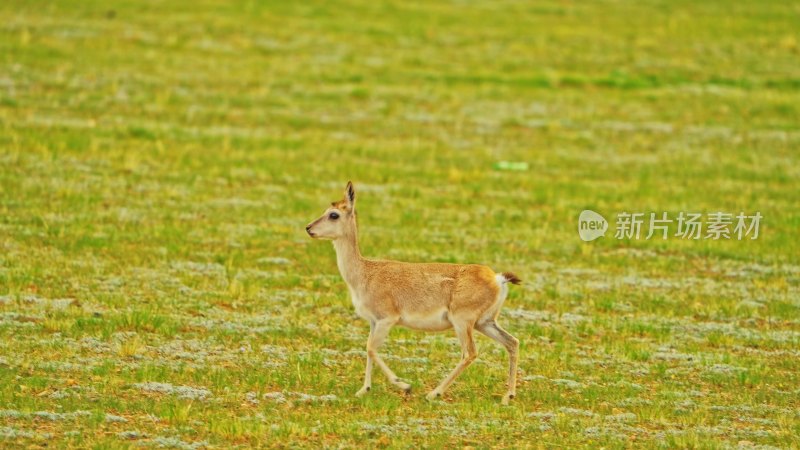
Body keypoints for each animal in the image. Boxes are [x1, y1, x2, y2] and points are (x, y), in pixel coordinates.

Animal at [304, 182, 520, 404]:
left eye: (334, 214)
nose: (308, 228)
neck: (365, 272)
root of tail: (497, 278)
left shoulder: (387, 319)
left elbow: (372, 348)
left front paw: (405, 385)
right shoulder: (373, 321)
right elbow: (368, 348)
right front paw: (364, 390)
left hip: (463, 322)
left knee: (470, 353)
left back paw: (433, 393)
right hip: (484, 322)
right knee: (512, 342)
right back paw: (508, 396)